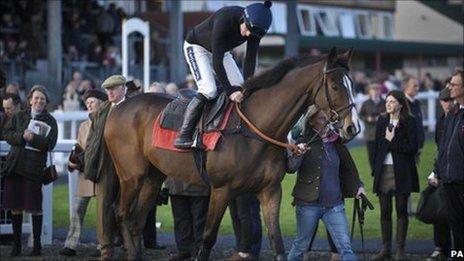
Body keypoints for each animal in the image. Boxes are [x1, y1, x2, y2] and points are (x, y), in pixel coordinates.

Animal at [106, 47, 358, 258]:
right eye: (335, 86)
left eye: (352, 85)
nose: (352, 127)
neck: (254, 129)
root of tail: (119, 108)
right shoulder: (221, 190)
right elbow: (207, 239)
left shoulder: (270, 191)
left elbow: (276, 241)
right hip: (131, 175)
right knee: (121, 213)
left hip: (153, 176)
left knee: (136, 222)